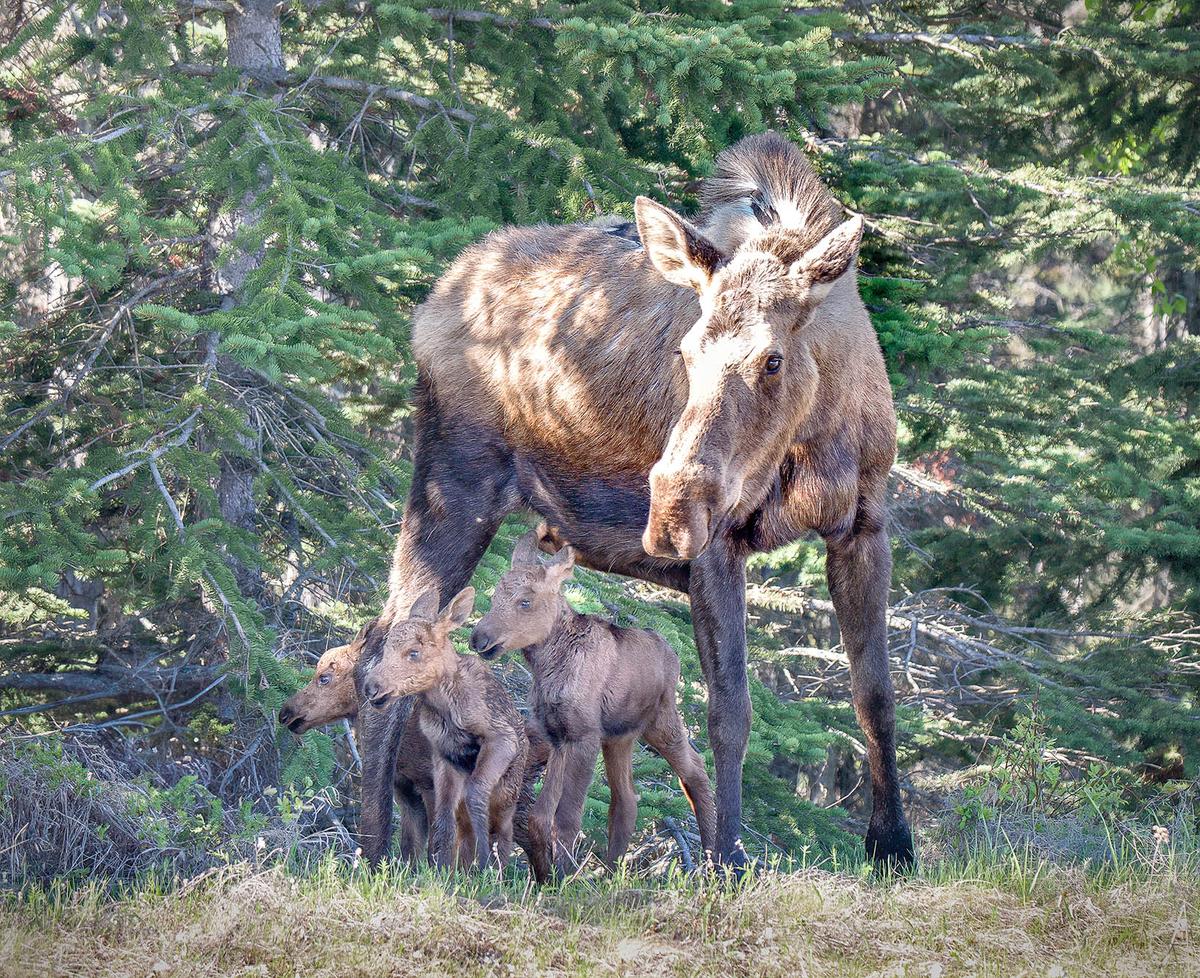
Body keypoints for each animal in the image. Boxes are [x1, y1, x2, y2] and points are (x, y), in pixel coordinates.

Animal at [363, 586, 529, 870]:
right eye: (386, 648)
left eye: (414, 652)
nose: (371, 686)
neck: (445, 706)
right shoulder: (443, 755)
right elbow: (443, 817)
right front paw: (441, 869)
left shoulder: (501, 738)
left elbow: (476, 795)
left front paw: (482, 865)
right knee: (464, 826)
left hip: (508, 792)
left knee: (503, 830)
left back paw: (495, 870)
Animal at [468, 532, 717, 882]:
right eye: (495, 596)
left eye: (525, 601)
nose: (479, 638)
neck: (547, 665)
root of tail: (673, 653)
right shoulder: (556, 735)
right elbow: (540, 816)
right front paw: (546, 876)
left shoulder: (583, 736)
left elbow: (567, 818)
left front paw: (564, 877)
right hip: (619, 738)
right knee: (626, 798)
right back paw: (612, 872)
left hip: (661, 721)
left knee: (696, 769)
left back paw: (714, 861)